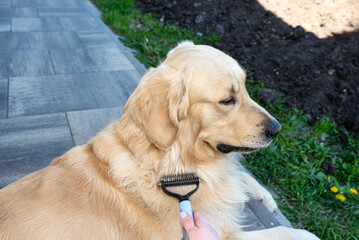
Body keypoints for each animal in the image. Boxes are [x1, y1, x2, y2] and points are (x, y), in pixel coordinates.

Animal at [0, 42, 320, 239]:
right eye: (227, 100)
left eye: (246, 86)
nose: (277, 129)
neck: (170, 162)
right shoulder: (214, 232)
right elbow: (282, 232)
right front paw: (306, 233)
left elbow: (239, 177)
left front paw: (264, 194)